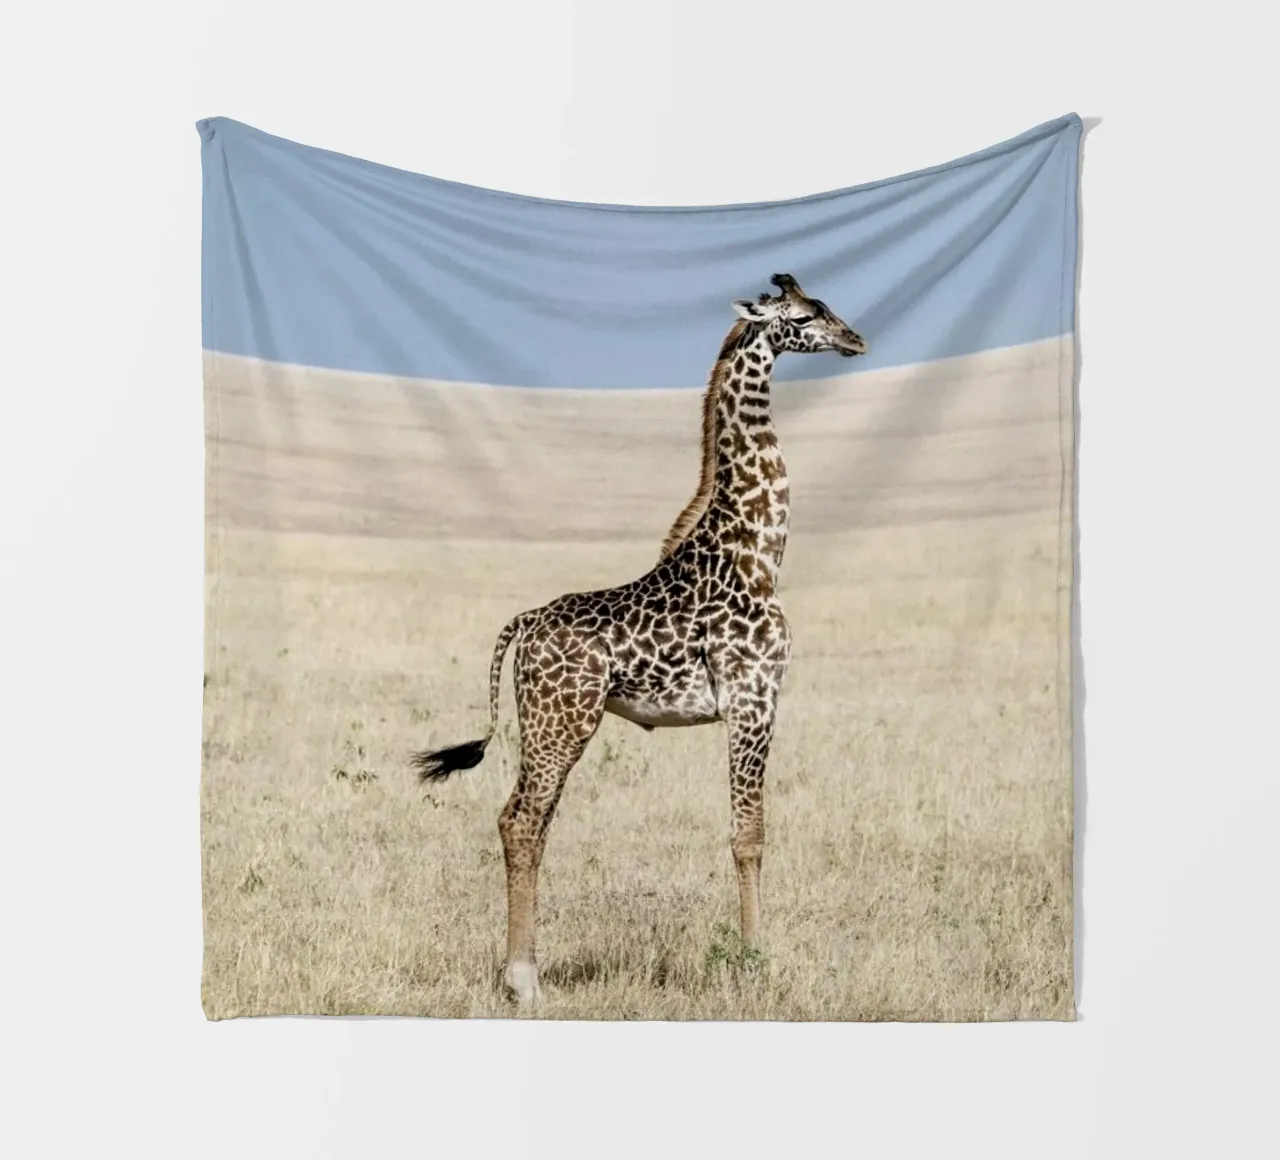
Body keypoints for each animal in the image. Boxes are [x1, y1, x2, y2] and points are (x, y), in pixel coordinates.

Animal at [412, 273, 867, 1004]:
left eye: (826, 308)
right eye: (802, 317)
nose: (856, 340)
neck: (759, 551)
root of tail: (523, 625)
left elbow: (748, 831)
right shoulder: (754, 699)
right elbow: (749, 835)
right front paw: (752, 963)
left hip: (551, 725)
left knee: (527, 821)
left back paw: (524, 971)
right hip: (561, 721)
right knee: (520, 819)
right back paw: (522, 980)